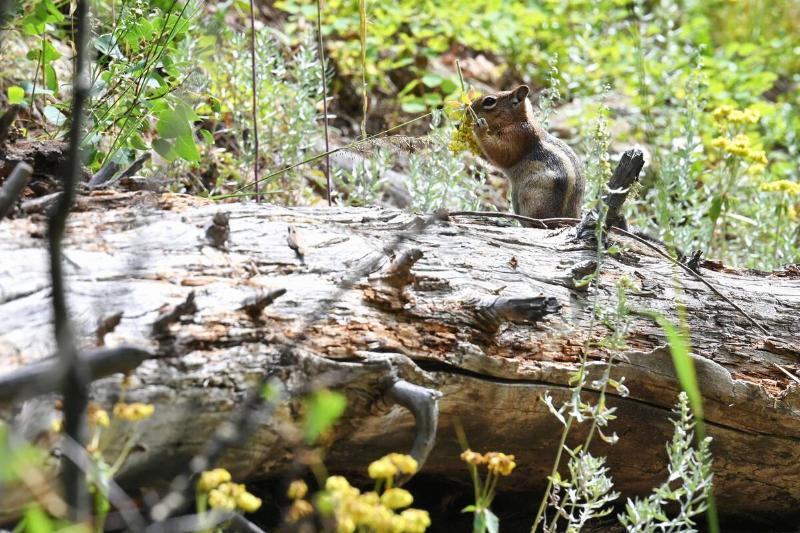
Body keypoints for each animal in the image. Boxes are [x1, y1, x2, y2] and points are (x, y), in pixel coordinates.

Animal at [470, 85, 585, 226]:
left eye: (489, 101)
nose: (468, 109)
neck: (518, 120)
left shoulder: (517, 137)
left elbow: (502, 154)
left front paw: (480, 127)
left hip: (532, 198)